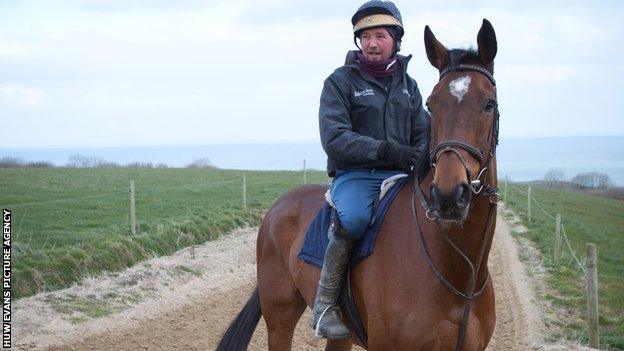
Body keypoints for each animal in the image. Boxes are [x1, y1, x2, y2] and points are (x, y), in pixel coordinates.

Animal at [217, 20, 500, 351]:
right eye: (432, 104)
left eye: (489, 104)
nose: (448, 195)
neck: (457, 273)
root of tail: (279, 206)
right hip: (279, 316)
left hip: (340, 336)